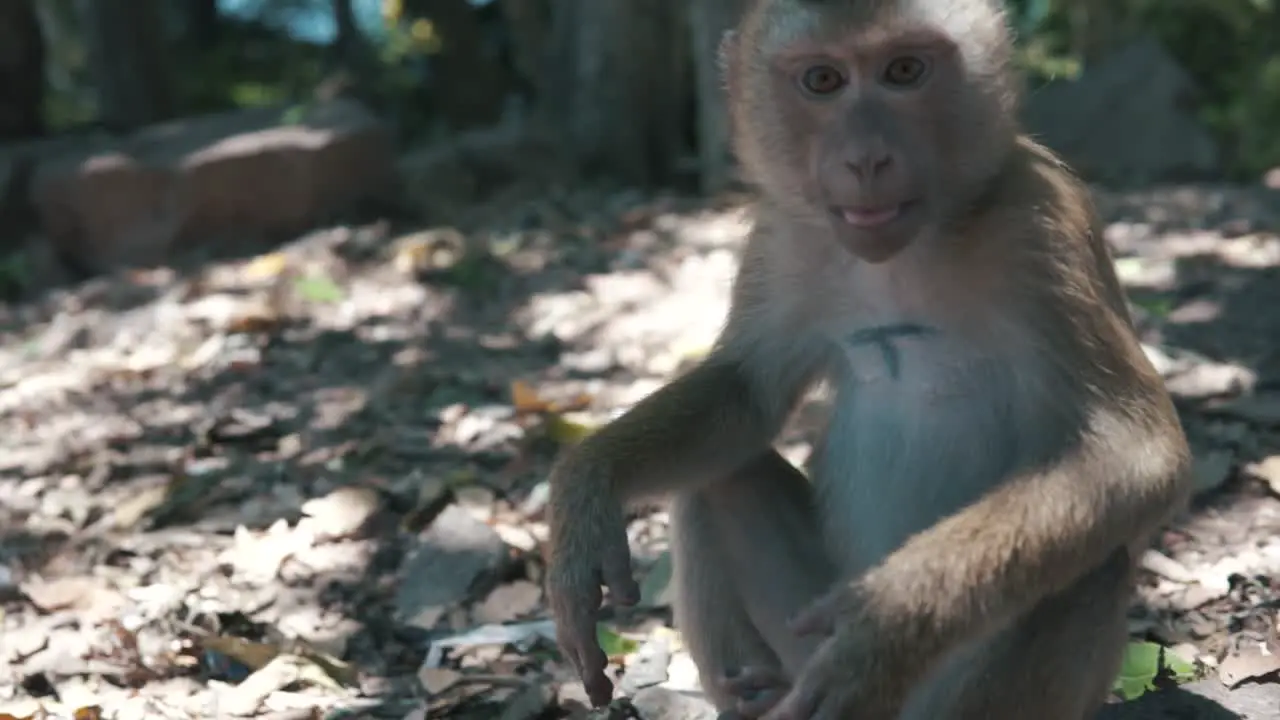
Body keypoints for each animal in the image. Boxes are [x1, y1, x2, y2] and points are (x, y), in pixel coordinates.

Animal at [540, 1, 1187, 717]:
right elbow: (745, 392)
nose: (866, 159)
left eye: (903, 71)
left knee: (1089, 573)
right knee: (717, 475)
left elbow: (1132, 450)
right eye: (823, 80)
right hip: (802, 645)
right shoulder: (785, 238)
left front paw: (888, 623)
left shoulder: (1043, 227)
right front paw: (589, 485)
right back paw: (753, 696)